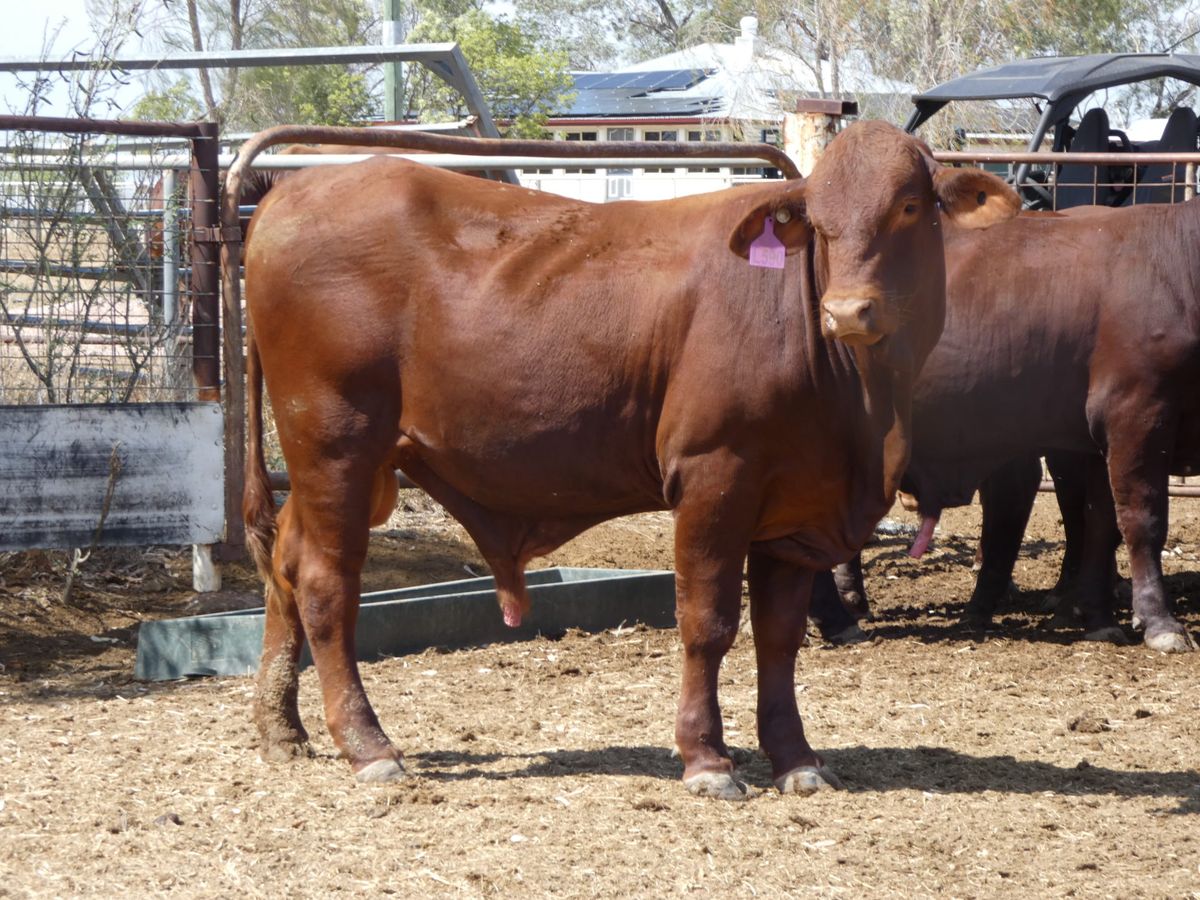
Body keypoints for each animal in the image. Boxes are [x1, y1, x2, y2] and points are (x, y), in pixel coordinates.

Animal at [241, 120, 1018, 799]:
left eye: (909, 207)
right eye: (820, 226)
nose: (847, 312)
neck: (863, 406)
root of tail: (291, 194)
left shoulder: (798, 507)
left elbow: (779, 639)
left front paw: (796, 759)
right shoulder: (714, 474)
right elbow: (708, 623)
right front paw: (707, 760)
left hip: (347, 465)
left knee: (285, 564)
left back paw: (282, 730)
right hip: (335, 442)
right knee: (326, 584)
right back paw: (369, 746)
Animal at [837, 201, 1200, 653]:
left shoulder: (1096, 439)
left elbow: (1100, 522)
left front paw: (1096, 614)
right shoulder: (1137, 412)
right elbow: (1141, 519)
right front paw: (1158, 620)